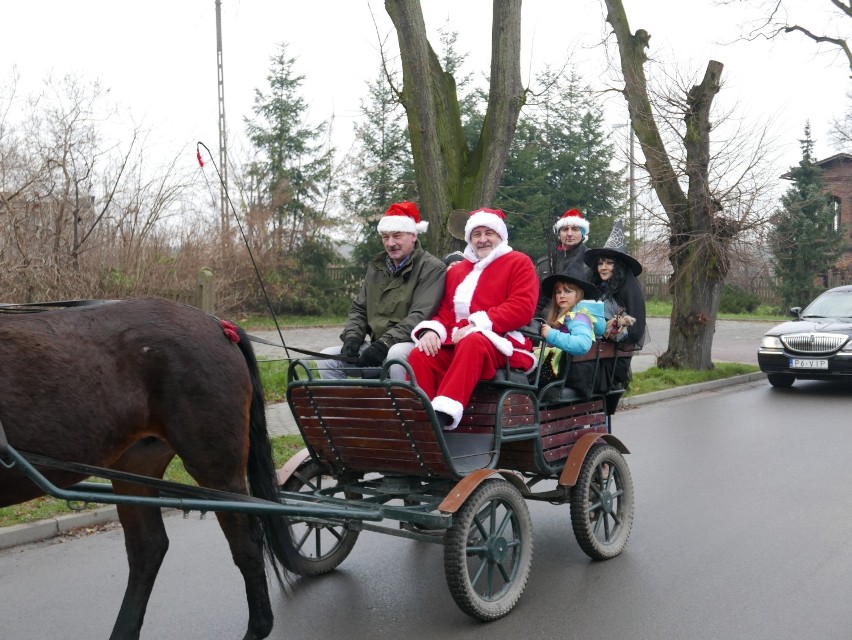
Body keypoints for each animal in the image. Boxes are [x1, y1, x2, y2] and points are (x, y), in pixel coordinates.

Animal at [0, 298, 298, 640]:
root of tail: (217, 323)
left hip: (217, 467)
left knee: (246, 543)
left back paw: (257, 626)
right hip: (137, 465)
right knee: (148, 547)